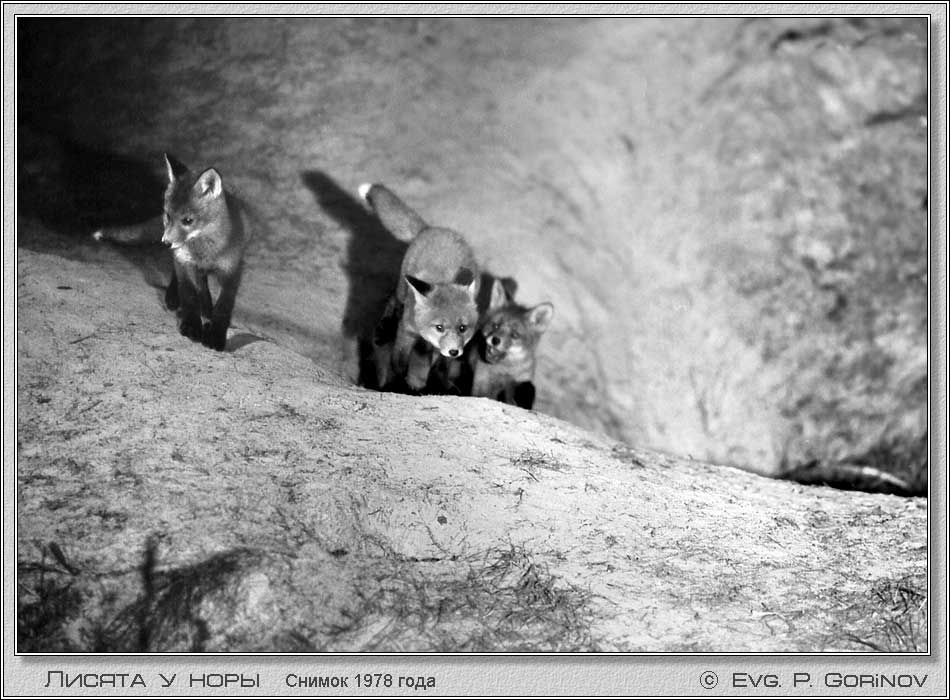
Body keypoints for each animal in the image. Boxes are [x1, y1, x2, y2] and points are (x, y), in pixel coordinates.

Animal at [92, 154, 250, 351]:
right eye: (167, 216)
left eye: (188, 220)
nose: (166, 242)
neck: (204, 252)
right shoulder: (185, 262)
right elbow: (189, 295)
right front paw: (191, 326)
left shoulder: (232, 270)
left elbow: (223, 306)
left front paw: (215, 335)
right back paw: (176, 299)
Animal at [359, 183, 480, 393]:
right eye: (439, 327)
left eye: (462, 328)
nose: (454, 351)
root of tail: (431, 229)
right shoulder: (406, 329)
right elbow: (399, 358)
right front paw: (398, 378)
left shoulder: (431, 348)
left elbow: (429, 364)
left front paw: (421, 382)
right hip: (402, 287)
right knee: (394, 299)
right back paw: (384, 327)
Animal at [468, 278, 554, 410]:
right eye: (496, 325)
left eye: (515, 335)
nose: (495, 340)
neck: (506, 370)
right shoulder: (482, 382)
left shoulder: (520, 381)